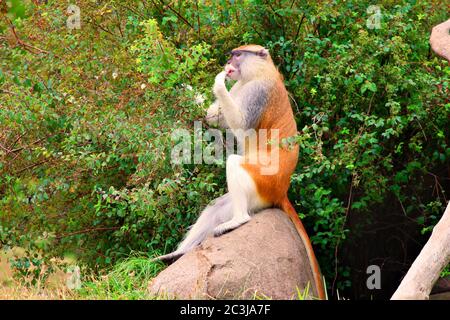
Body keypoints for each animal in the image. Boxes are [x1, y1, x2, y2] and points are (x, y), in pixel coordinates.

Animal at [156, 45, 326, 300]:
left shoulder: (257, 93)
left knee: (235, 163)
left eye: (237, 54)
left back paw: (238, 220)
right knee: (215, 206)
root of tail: (281, 191)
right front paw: (187, 88)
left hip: (262, 184)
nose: (228, 63)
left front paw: (218, 82)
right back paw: (176, 254)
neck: (258, 72)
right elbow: (214, 118)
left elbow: (240, 125)